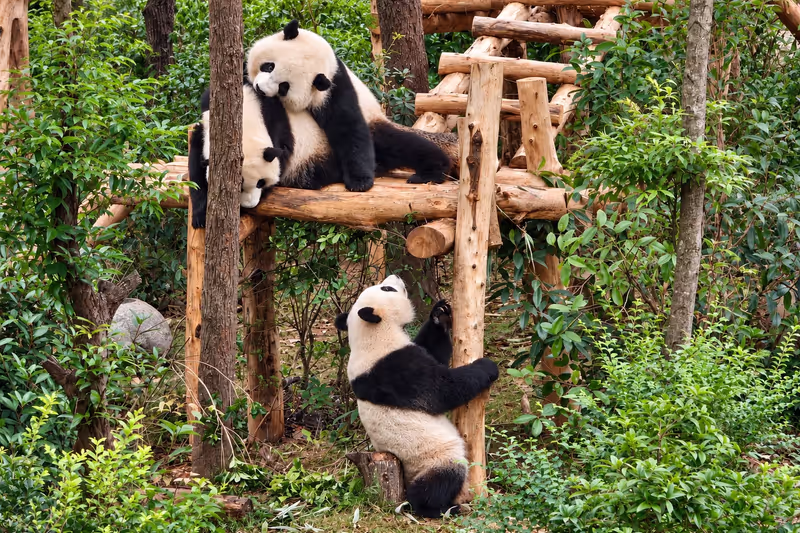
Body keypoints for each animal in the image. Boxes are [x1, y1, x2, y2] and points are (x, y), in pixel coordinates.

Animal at [188, 78, 291, 229]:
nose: (250, 205)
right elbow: (196, 172)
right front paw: (200, 218)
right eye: (239, 188)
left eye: (261, 182)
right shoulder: (204, 130)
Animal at [246, 20, 453, 190]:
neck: (327, 59)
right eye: (269, 66)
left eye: (284, 87)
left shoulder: (333, 89)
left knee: (401, 144)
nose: (260, 89)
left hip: (374, 123)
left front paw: (359, 181)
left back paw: (433, 170)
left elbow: (347, 126)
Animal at [334, 275, 499, 518]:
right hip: (433, 457)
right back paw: (441, 507)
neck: (370, 335)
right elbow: (441, 390)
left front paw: (440, 314)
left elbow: (434, 351)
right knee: (441, 479)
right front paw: (487, 367)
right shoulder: (393, 369)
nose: (396, 276)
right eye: (387, 288)